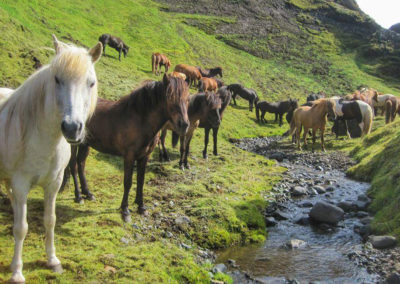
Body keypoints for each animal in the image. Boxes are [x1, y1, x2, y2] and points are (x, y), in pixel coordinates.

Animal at [1, 35, 102, 282]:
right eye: (57, 79)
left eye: (91, 83)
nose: (72, 128)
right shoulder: (21, 184)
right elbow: (21, 228)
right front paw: (17, 272)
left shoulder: (53, 184)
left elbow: (50, 220)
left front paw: (52, 260)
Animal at [60, 74, 190, 221]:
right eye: (170, 97)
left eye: (188, 99)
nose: (184, 125)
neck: (140, 120)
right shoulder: (129, 156)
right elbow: (128, 182)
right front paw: (125, 210)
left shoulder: (144, 157)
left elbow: (140, 181)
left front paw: (141, 207)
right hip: (74, 144)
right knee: (73, 166)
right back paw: (78, 196)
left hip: (85, 144)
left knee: (81, 164)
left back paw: (88, 193)